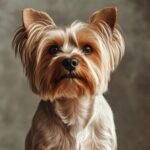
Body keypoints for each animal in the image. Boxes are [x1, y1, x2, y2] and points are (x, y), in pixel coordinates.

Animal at [12, 7, 125, 150]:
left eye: (88, 48)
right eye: (53, 49)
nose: (70, 62)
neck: (74, 104)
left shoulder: (102, 142)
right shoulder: (45, 141)